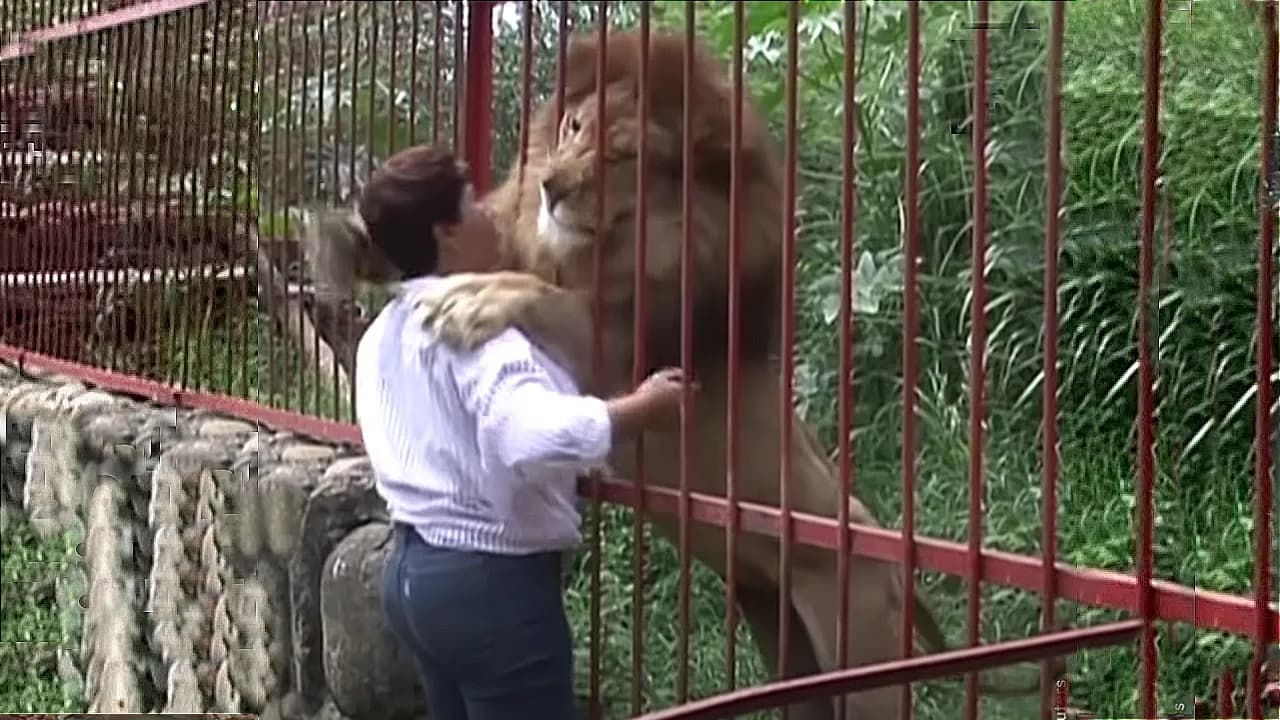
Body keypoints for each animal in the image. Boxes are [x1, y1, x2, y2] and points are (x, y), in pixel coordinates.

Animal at [409, 26, 1049, 712]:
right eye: (573, 127)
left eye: (622, 157)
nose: (552, 184)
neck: (608, 253)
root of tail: (897, 570)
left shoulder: (615, 353)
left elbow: (538, 293)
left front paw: (470, 300)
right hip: (782, 633)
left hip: (860, 655)